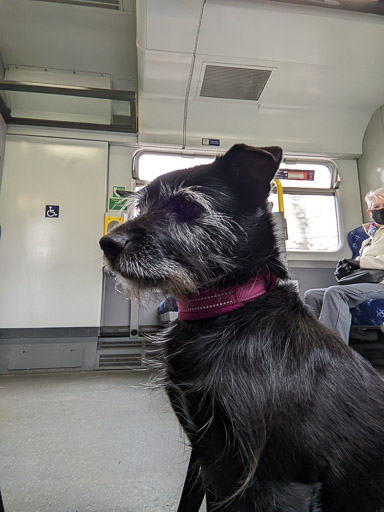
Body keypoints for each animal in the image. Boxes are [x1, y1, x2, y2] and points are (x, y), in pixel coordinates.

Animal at [100, 144, 384, 512]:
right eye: (142, 206)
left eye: (186, 206)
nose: (107, 243)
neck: (228, 308)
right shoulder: (205, 455)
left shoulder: (279, 483)